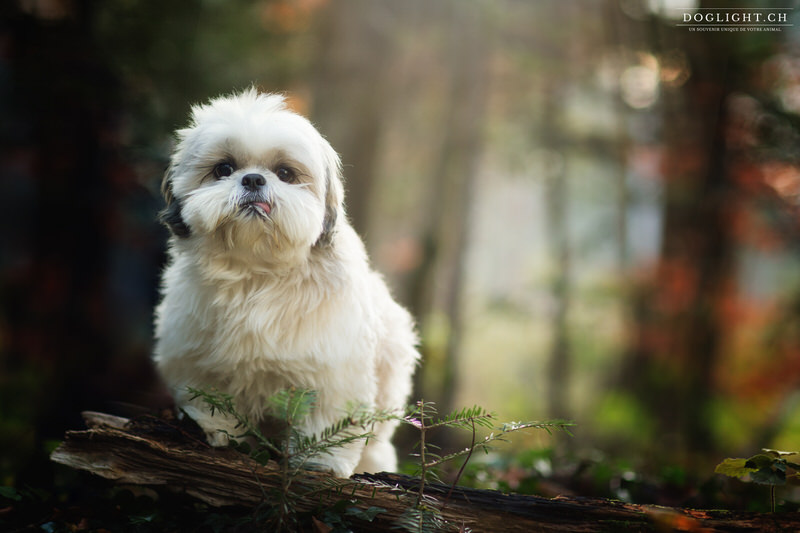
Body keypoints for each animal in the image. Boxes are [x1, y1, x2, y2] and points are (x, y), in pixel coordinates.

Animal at [152, 89, 422, 476]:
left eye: (284, 173)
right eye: (224, 169)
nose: (253, 179)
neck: (258, 274)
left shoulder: (334, 372)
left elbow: (328, 419)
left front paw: (321, 461)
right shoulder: (198, 359)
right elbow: (210, 398)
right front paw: (215, 430)